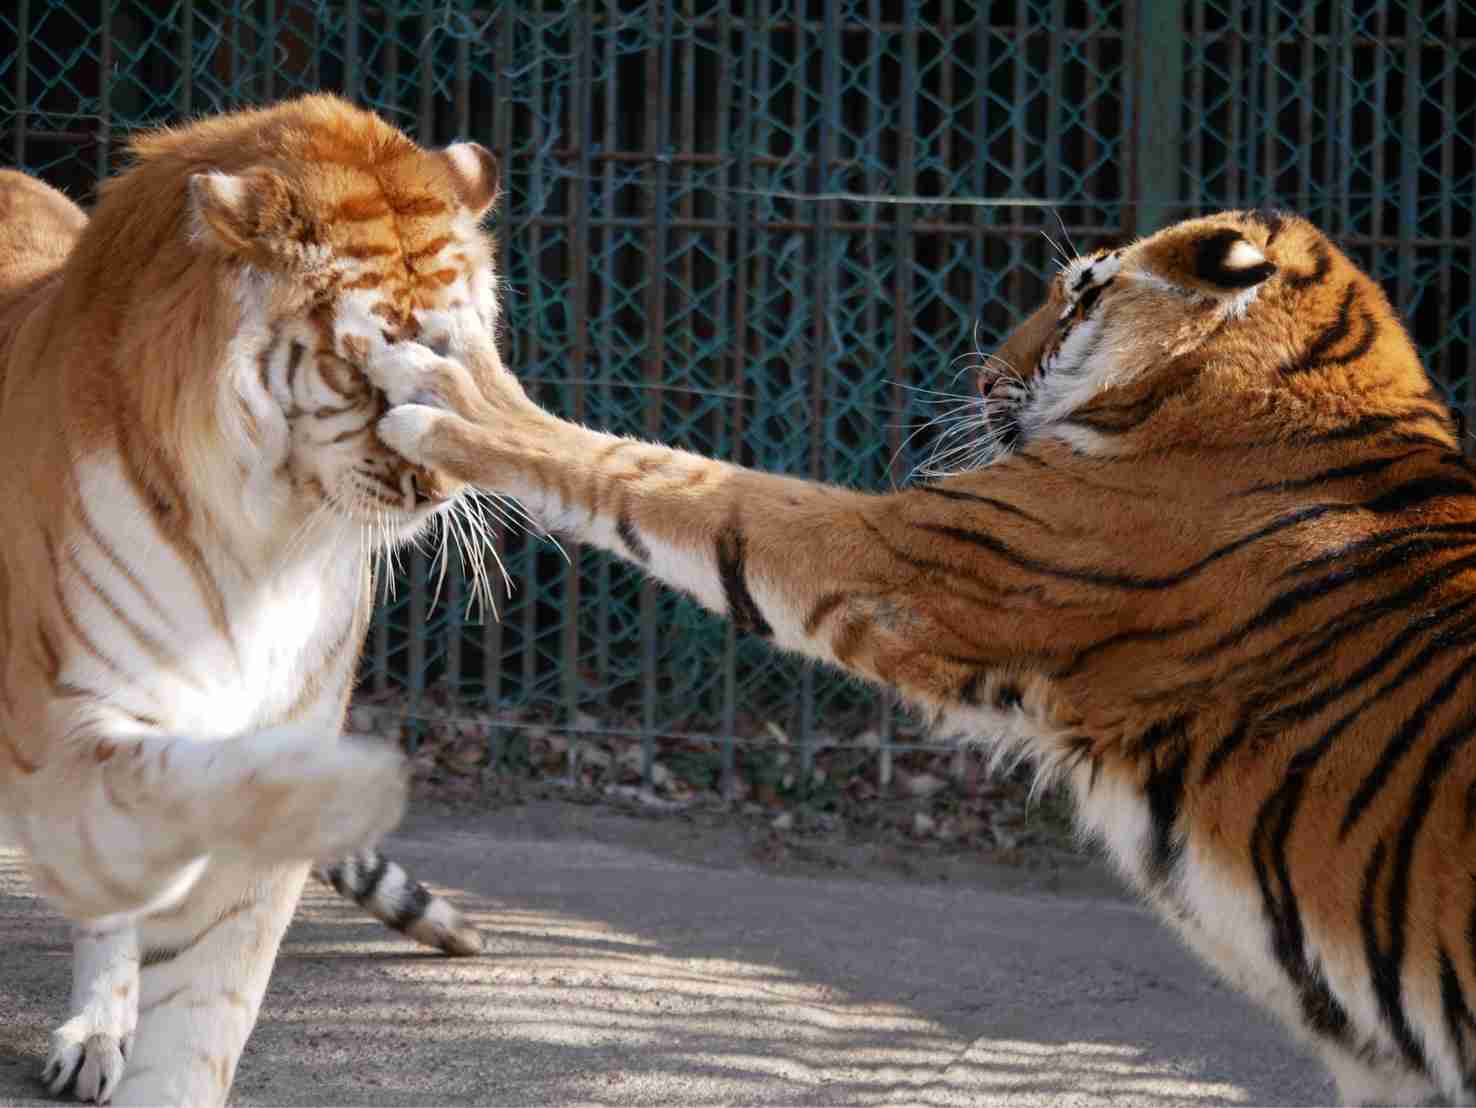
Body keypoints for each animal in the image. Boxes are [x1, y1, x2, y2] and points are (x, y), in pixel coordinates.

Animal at [0, 93, 509, 1106]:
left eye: (455, 353)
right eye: (361, 366)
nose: (442, 480)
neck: (268, 545)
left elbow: (203, 1007)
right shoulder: (72, 719)